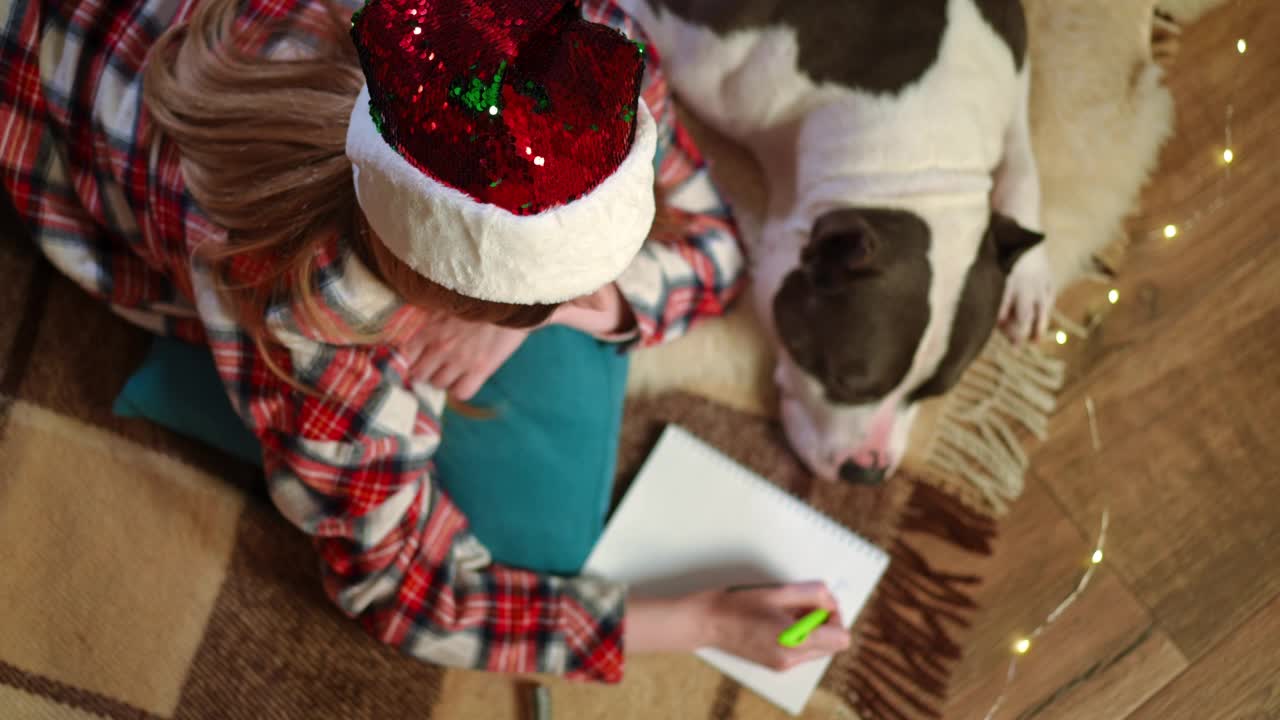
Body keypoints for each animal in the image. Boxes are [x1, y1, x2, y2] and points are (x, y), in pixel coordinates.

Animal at [622, 1, 1059, 481]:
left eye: (936, 392)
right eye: (845, 381)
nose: (866, 474)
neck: (920, 164)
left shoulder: (1014, 53)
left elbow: (1022, 156)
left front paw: (1030, 277)